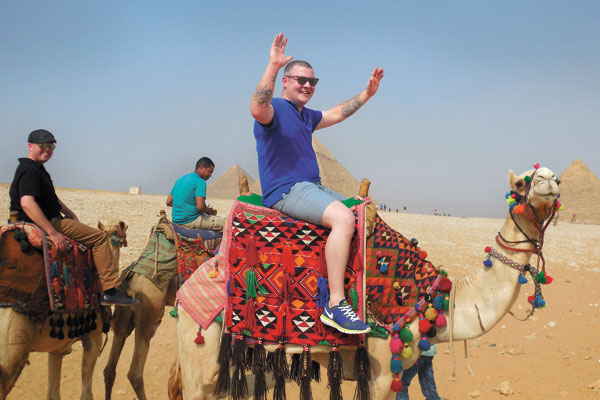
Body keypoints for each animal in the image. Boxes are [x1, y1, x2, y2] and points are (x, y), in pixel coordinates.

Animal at [0, 220, 127, 398]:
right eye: (121, 230)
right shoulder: (93, 338)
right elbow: (86, 393)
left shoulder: (57, 347)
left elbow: (53, 393)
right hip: (10, 353)